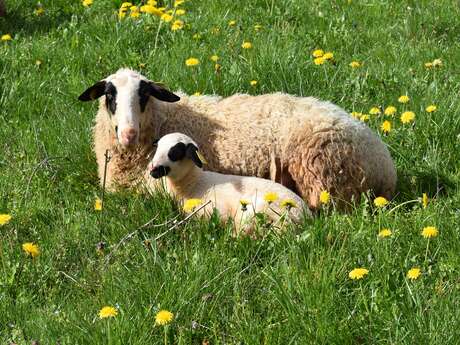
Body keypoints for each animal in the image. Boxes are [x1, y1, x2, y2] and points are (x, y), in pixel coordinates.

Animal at [146, 132, 308, 234]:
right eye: (157, 148)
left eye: (175, 152)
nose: (153, 170)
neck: (193, 183)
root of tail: (305, 218)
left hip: (255, 212)